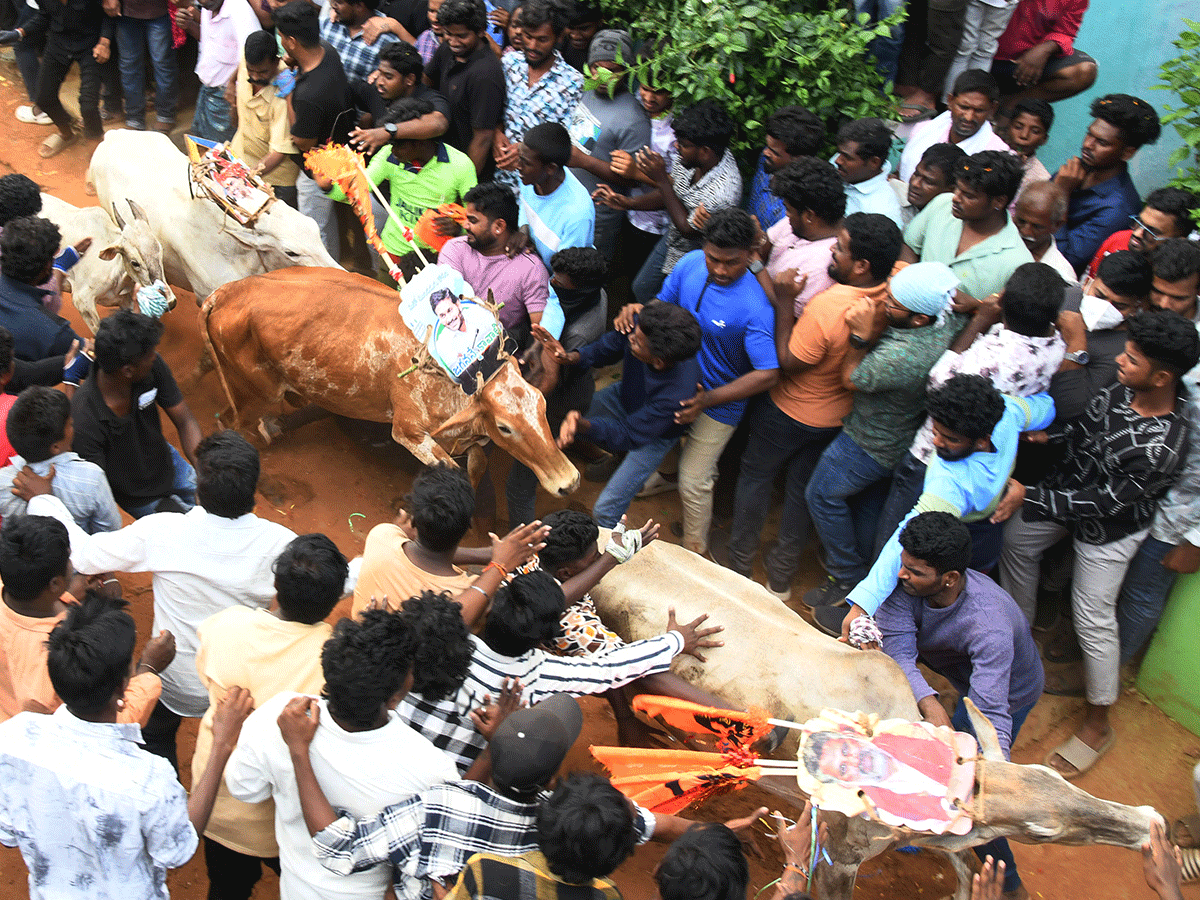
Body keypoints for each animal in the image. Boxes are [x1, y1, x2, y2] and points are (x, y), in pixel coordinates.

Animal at [590, 542, 1161, 900]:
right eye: (1042, 829)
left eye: (1052, 776)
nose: (1148, 824)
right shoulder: (840, 854)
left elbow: (964, 867)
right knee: (622, 712)